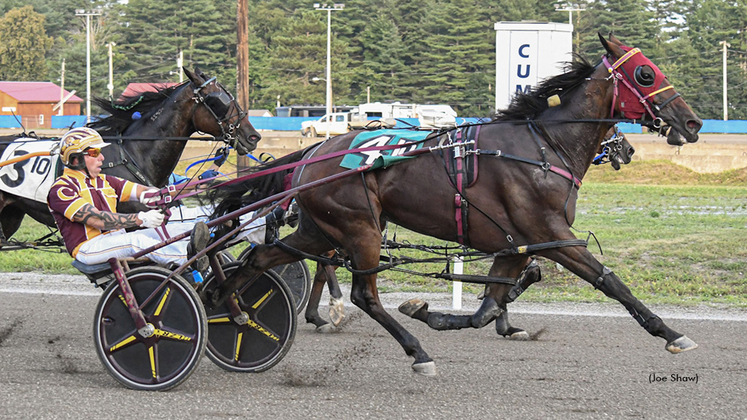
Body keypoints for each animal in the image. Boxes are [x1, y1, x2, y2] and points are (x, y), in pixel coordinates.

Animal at [209, 33, 700, 374]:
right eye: (645, 74)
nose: (692, 122)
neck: (543, 147)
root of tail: (316, 150)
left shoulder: (514, 243)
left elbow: (488, 308)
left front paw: (435, 313)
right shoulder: (552, 234)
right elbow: (610, 282)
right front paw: (671, 332)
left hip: (320, 227)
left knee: (260, 257)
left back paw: (231, 306)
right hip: (359, 228)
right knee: (363, 293)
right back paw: (415, 351)